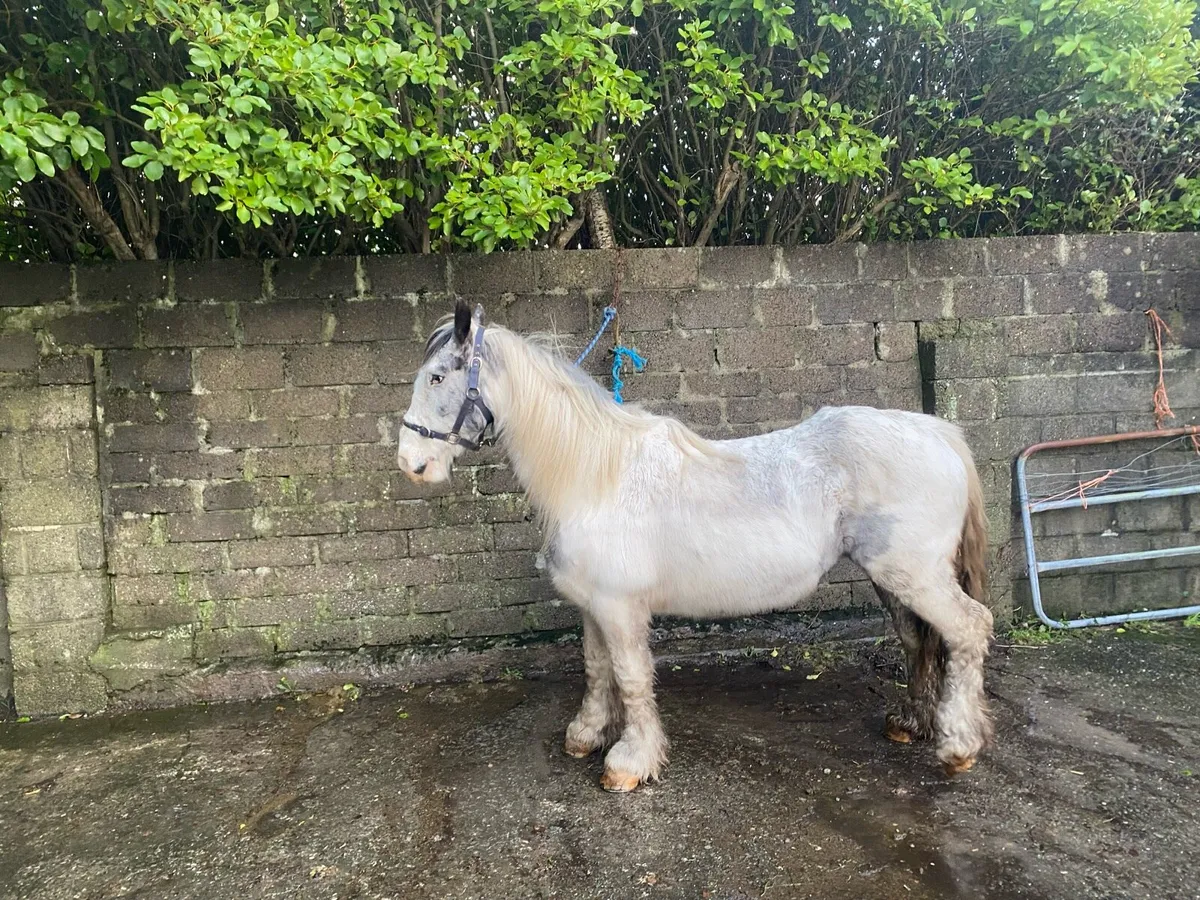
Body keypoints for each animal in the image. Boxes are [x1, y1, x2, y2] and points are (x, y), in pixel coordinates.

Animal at [395, 299, 994, 793]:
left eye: (438, 376)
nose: (410, 464)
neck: (595, 477)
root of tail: (939, 434)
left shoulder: (619, 608)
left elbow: (631, 677)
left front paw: (629, 762)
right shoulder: (593, 606)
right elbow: (595, 668)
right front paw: (586, 734)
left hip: (914, 575)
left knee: (967, 629)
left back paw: (958, 745)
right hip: (892, 577)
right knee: (919, 640)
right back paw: (911, 723)